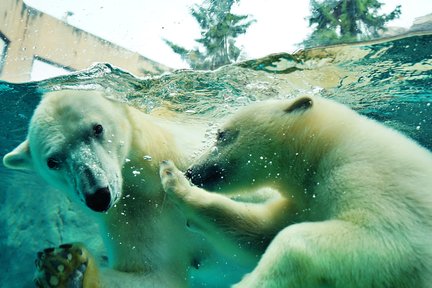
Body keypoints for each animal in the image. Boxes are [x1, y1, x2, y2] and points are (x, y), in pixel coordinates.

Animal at [2, 90, 250, 288]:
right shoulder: (133, 214)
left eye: (97, 128)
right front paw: (64, 269)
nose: (98, 196)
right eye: (52, 161)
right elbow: (154, 274)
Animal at [161, 96, 432, 288]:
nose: (192, 171)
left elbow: (387, 240)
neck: (325, 147)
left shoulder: (367, 173)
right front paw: (174, 181)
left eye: (221, 134)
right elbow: (261, 231)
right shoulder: (306, 200)